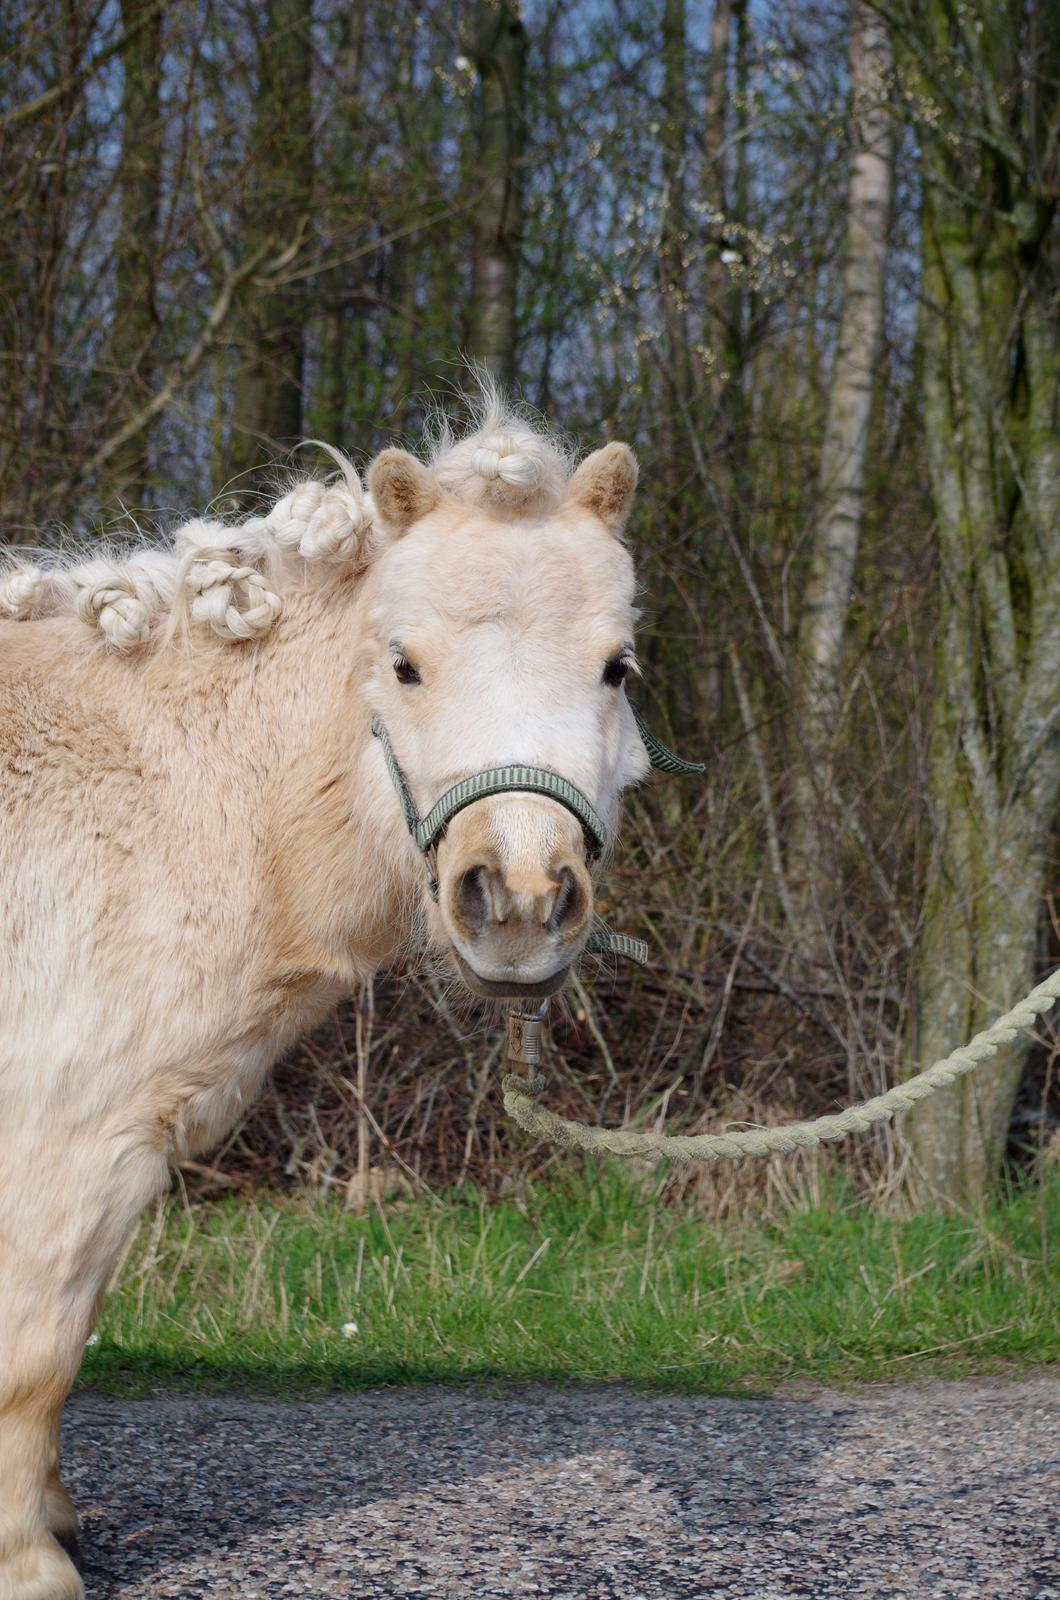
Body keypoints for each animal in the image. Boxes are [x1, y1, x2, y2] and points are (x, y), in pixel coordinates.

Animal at [0, 390, 646, 1600]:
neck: (162, 787)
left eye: (615, 668)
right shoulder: (62, 1138)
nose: (519, 900)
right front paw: (28, 1559)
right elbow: (37, 1351)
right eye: (405, 665)